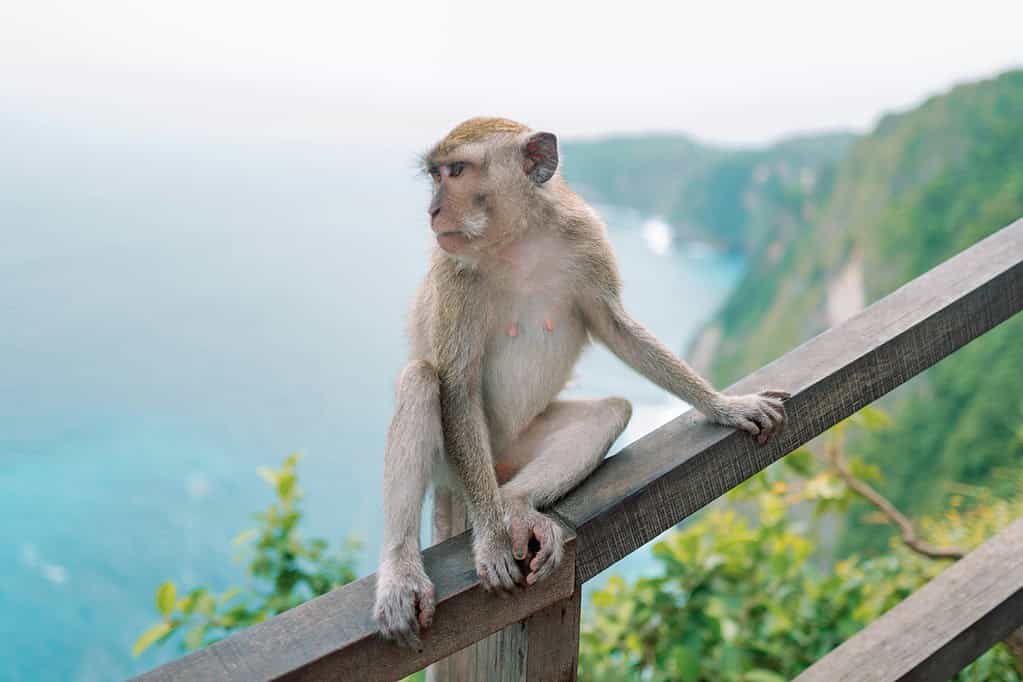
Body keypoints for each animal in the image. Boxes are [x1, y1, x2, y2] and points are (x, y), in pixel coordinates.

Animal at [372, 117, 789, 648]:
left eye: (456, 171)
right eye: (435, 175)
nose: (433, 209)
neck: (518, 242)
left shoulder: (585, 237)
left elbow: (616, 327)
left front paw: (725, 406)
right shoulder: (453, 275)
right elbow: (458, 386)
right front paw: (491, 541)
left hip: (514, 452)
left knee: (610, 411)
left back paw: (517, 506)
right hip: (458, 467)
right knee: (421, 381)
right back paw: (403, 568)